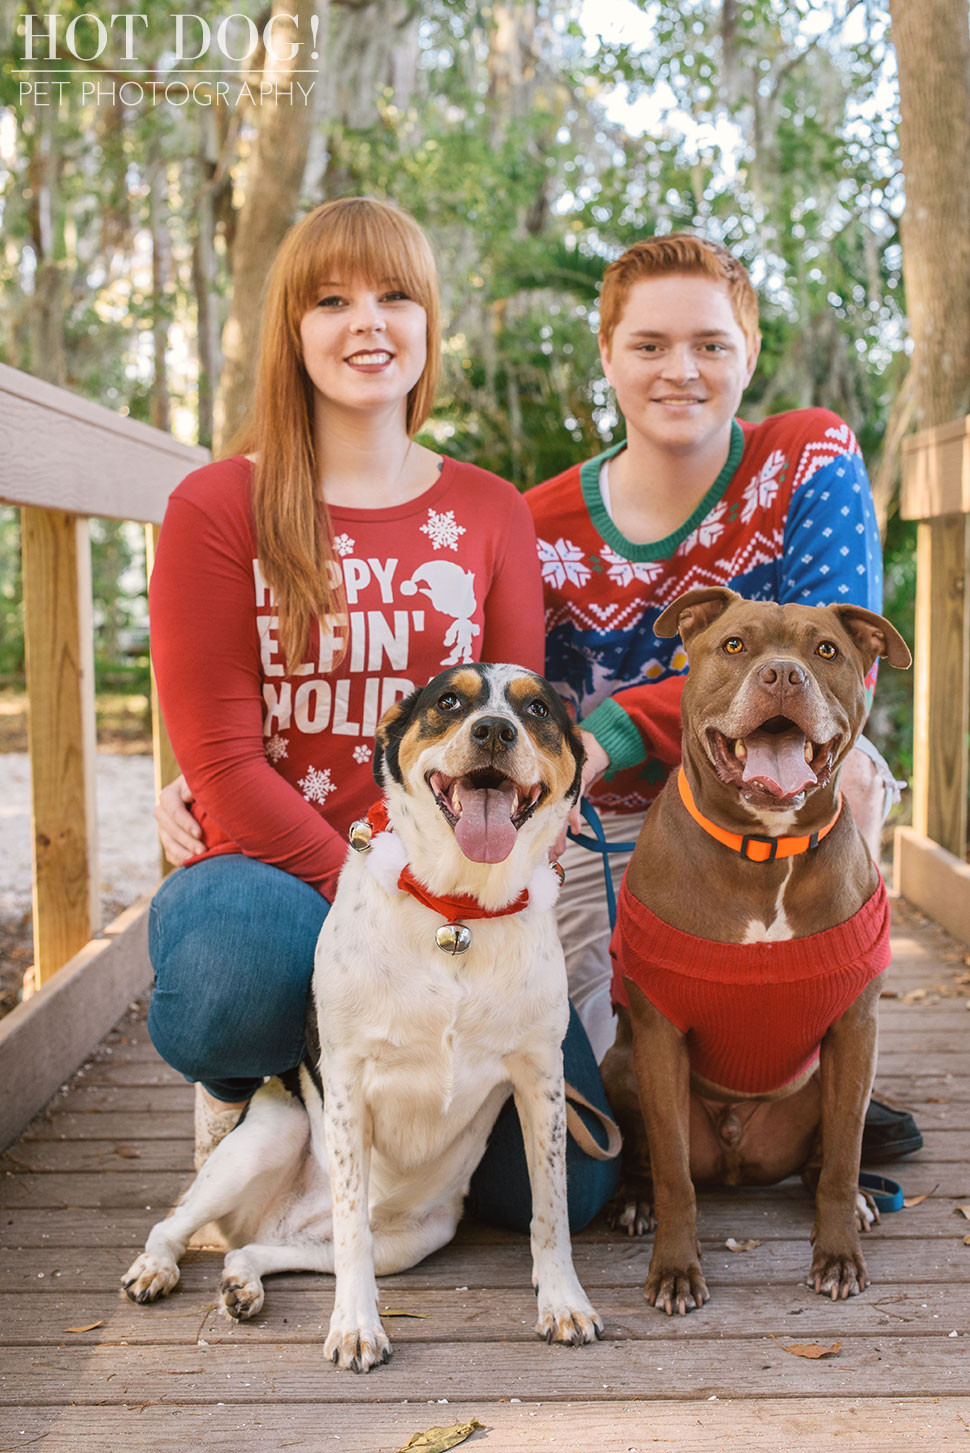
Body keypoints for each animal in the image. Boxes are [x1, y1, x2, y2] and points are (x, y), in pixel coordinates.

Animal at [121, 668, 598, 1371]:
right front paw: (354, 1328)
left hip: (412, 1241)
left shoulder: (541, 1080)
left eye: (537, 708)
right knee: (182, 1221)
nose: (493, 730)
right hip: (267, 1138)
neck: (456, 915)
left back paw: (243, 1285)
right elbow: (352, 1229)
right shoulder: (348, 1083)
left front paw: (563, 1302)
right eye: (448, 702)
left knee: (261, 1249)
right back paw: (156, 1267)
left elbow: (553, 1209)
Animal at [601, 587, 911, 1319]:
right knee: (649, 1158)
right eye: (735, 644)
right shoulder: (658, 1036)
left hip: (828, 1079)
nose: (782, 676)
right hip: (620, 1065)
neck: (765, 850)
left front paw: (837, 1256)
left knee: (823, 1161)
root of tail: (739, 1153)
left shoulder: (855, 1030)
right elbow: (674, 1174)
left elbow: (844, 1158)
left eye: (825, 650)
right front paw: (676, 1269)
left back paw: (858, 1202)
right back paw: (632, 1200)